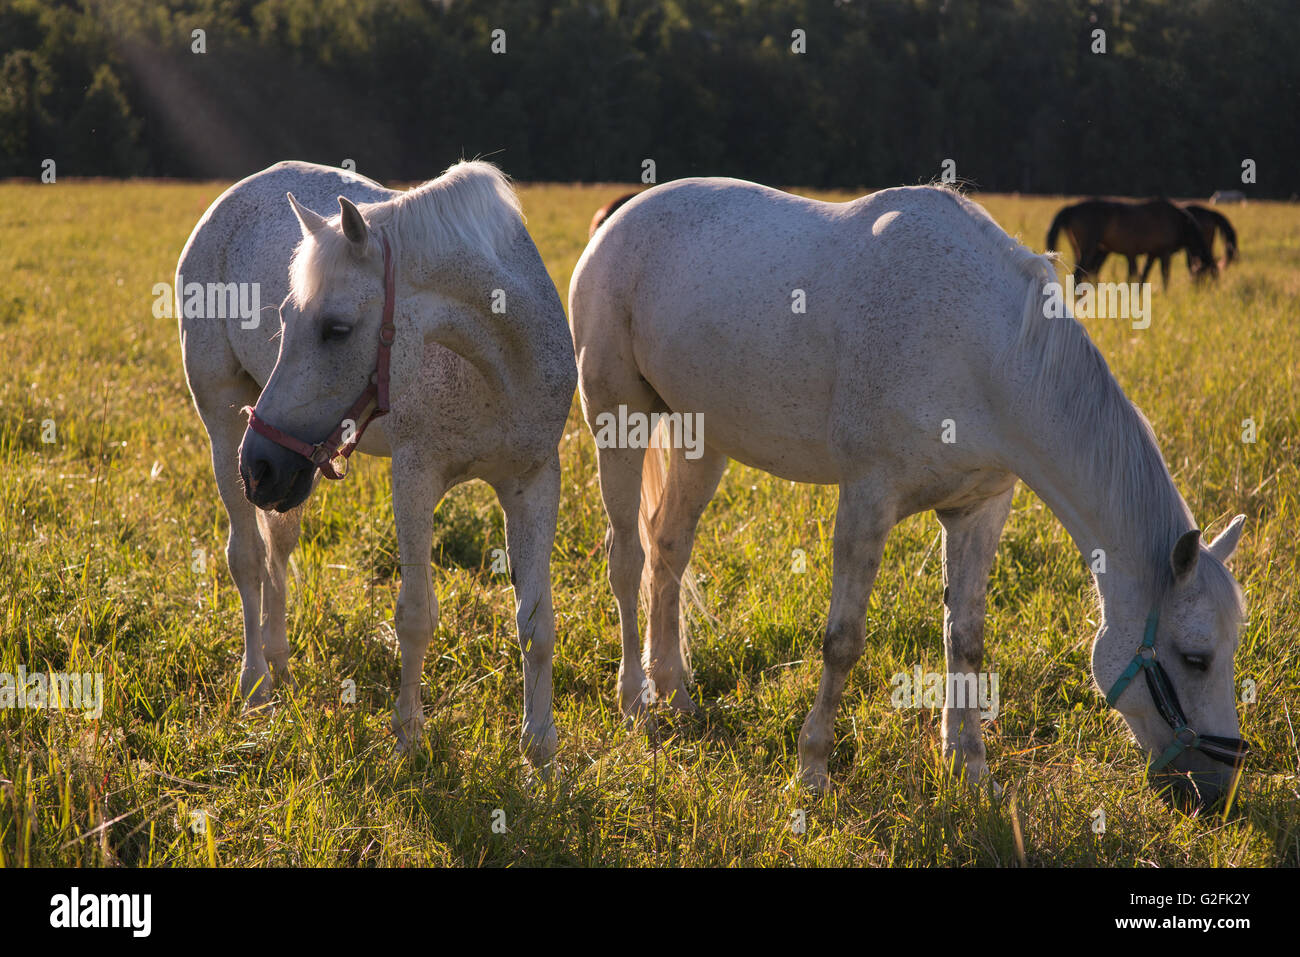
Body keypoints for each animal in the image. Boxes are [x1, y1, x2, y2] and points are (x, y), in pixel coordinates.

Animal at [176, 160, 577, 766]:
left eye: (336, 328)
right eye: (286, 318)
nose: (260, 465)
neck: (502, 367)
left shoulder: (533, 481)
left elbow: (536, 623)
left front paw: (540, 750)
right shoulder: (413, 478)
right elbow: (415, 617)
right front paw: (408, 737)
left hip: (292, 477)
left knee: (278, 549)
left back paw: (280, 665)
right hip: (229, 429)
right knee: (246, 558)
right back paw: (256, 686)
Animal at [1045, 198, 1218, 288]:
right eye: (1209, 273)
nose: (1214, 291)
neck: (1181, 224)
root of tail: (1071, 208)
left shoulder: (1152, 253)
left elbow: (1144, 276)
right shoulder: (1165, 252)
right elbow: (1165, 276)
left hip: (1084, 249)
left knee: (1086, 273)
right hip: (1089, 248)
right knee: (1079, 275)